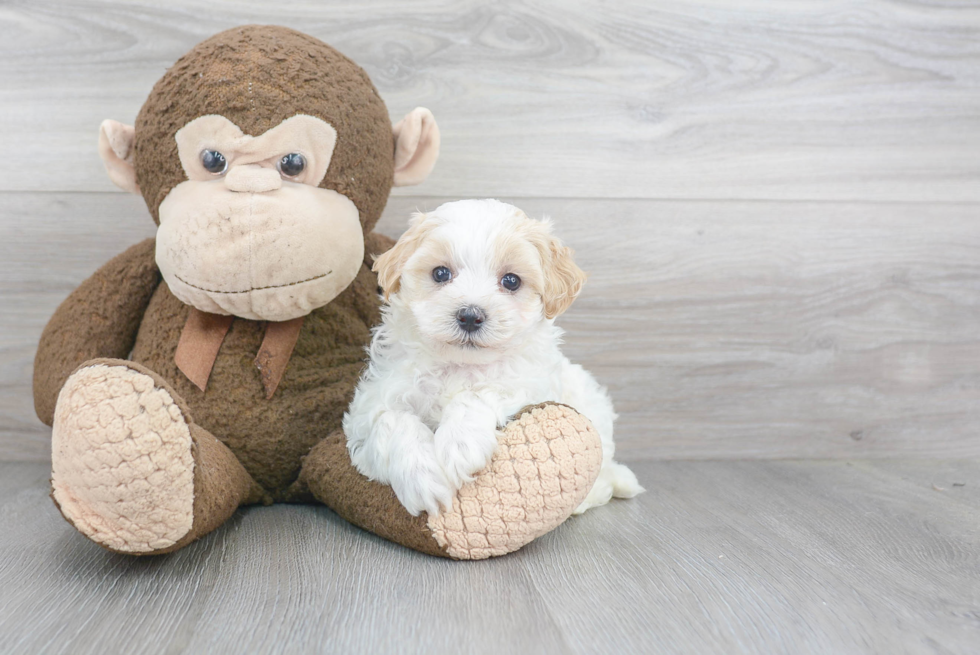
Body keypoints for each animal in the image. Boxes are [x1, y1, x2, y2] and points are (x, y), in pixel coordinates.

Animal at [342, 200, 644, 516]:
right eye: (440, 274)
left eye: (511, 281)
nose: (470, 316)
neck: (459, 365)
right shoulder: (368, 410)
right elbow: (392, 419)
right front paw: (422, 479)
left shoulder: (529, 384)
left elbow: (480, 392)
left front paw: (460, 444)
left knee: (603, 474)